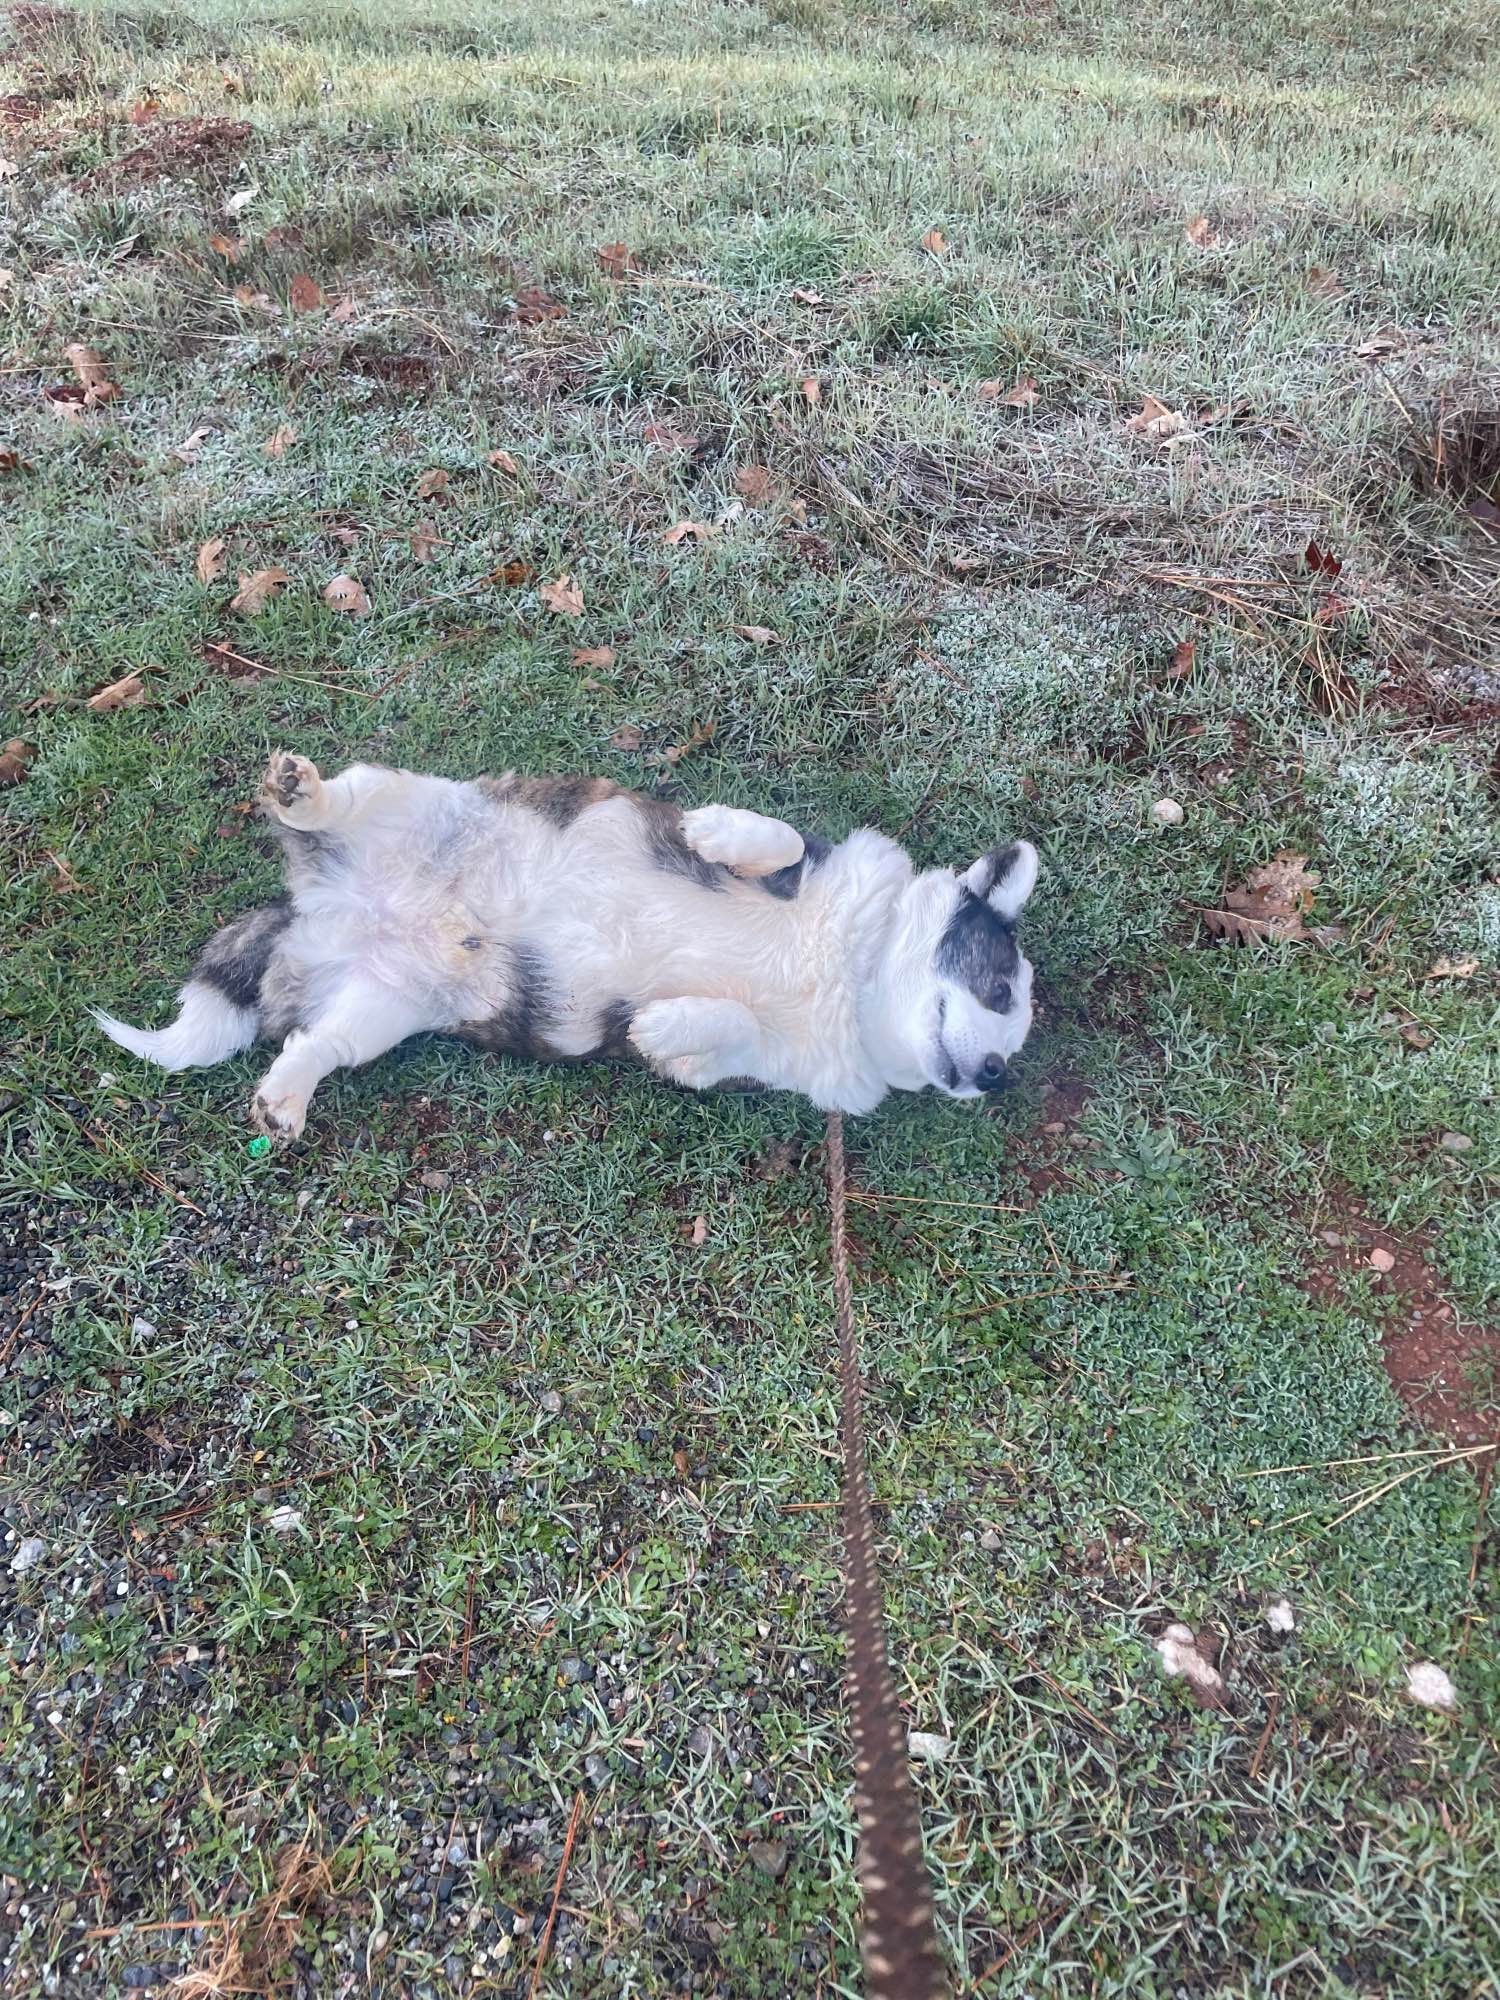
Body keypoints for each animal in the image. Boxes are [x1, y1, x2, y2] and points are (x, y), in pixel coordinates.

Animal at [94, 756, 1040, 1152]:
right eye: (1000, 986)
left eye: (1014, 1030)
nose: (993, 1078)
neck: (852, 974)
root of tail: (320, 913)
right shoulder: (802, 868)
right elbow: (772, 838)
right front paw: (715, 829)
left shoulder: (738, 1065)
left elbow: (716, 1027)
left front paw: (661, 1026)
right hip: (409, 803)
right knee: (346, 795)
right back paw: (301, 790)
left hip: (381, 1009)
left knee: (311, 1046)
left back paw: (284, 1102)